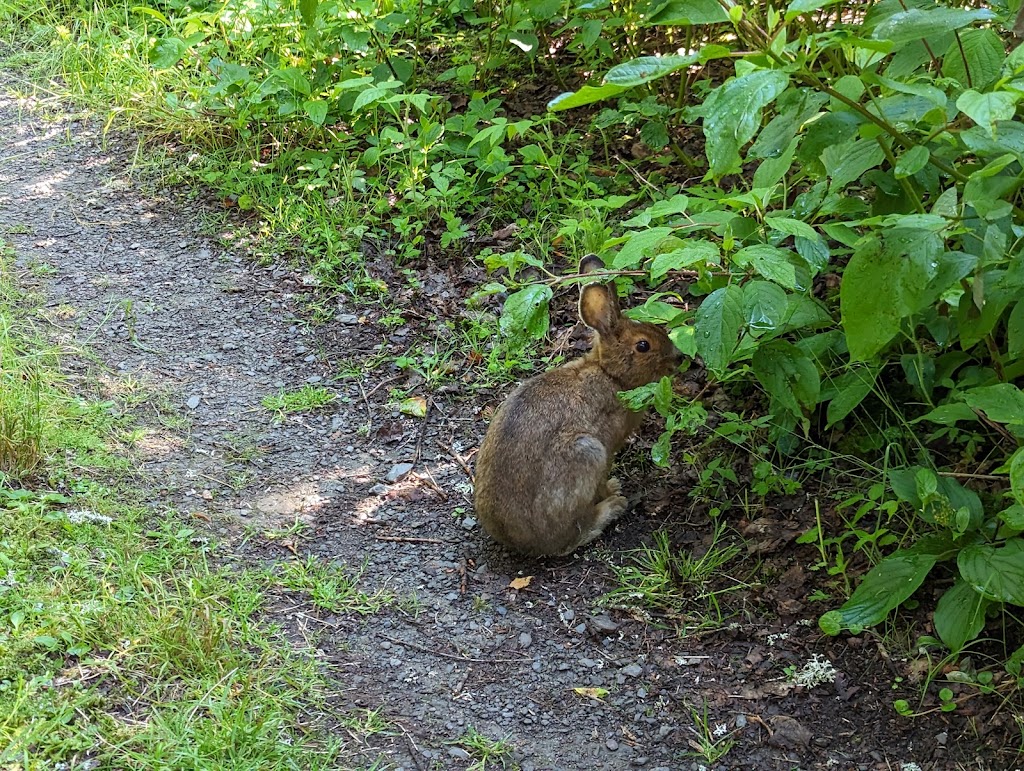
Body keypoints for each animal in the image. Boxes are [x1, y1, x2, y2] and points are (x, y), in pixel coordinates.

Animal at [475, 255, 684, 557]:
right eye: (643, 346)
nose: (678, 358)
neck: (609, 373)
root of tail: (520, 543)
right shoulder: (607, 446)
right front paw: (612, 490)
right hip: (586, 452)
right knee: (573, 536)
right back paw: (612, 507)